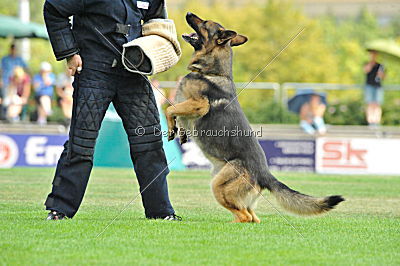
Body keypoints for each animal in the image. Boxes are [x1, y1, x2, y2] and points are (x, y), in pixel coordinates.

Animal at [166, 13, 344, 223]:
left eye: (205, 23)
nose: (188, 14)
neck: (212, 70)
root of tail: (265, 175)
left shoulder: (199, 104)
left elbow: (170, 109)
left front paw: (171, 129)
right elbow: (176, 113)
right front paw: (180, 133)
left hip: (218, 185)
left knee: (245, 216)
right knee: (253, 217)